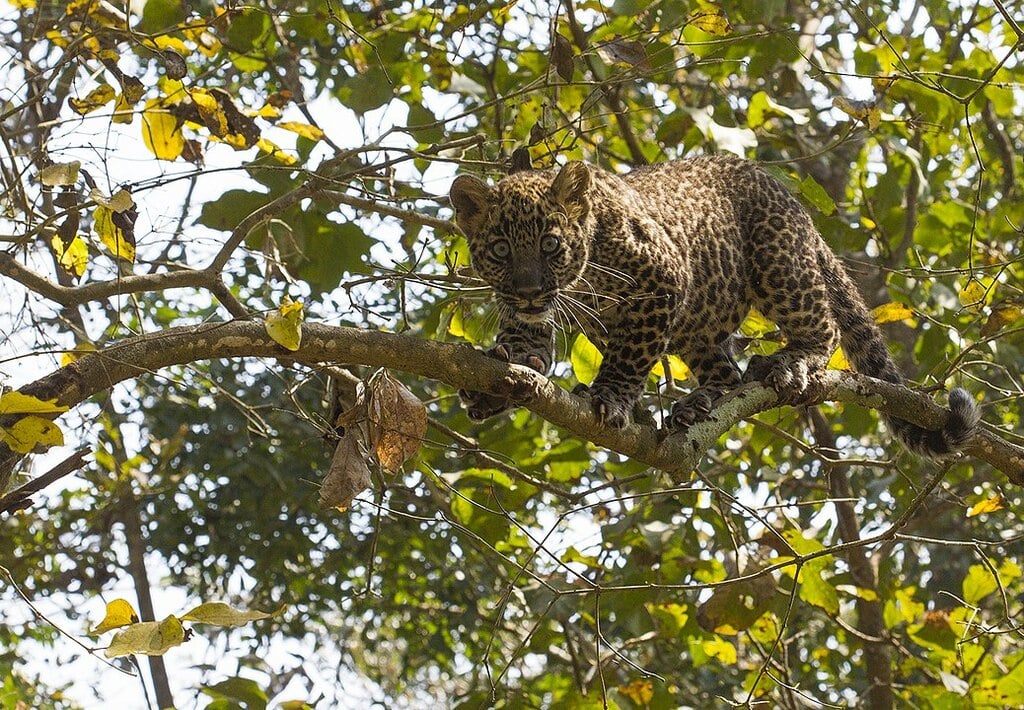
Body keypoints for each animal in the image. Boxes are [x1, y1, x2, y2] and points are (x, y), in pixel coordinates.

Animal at [448, 155, 979, 457]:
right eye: (501, 250)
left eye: (550, 245)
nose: (529, 290)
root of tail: (794, 203)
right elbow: (526, 345)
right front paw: (501, 377)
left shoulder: (661, 281)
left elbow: (630, 355)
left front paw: (611, 398)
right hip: (698, 323)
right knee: (727, 372)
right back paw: (698, 404)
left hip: (778, 261)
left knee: (822, 326)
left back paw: (791, 362)